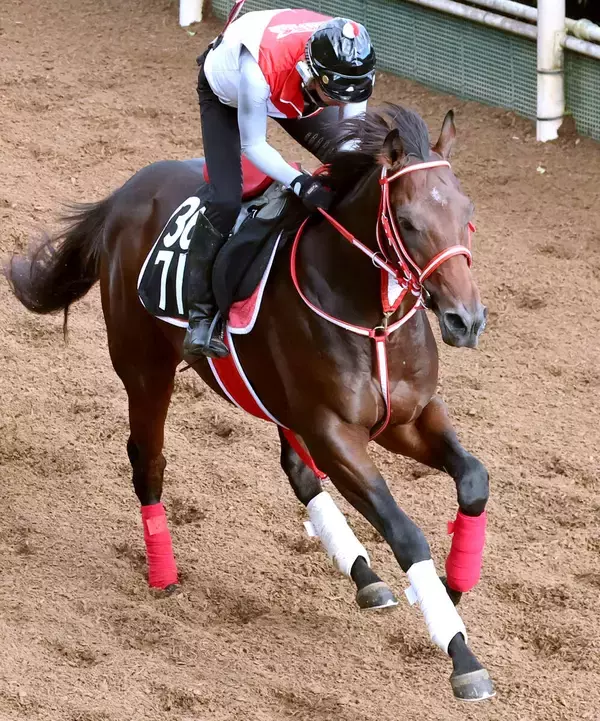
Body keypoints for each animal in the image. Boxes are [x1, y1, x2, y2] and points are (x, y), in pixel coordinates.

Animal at [5, 104, 493, 701]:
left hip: (272, 395)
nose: (466, 321)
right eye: (409, 220)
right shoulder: (334, 432)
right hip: (145, 371)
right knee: (149, 463)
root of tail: (123, 194)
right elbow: (405, 530)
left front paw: (453, 585)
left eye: (467, 212)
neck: (369, 314)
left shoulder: (408, 418)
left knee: (296, 470)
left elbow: (473, 477)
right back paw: (163, 574)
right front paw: (460, 653)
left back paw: (364, 576)